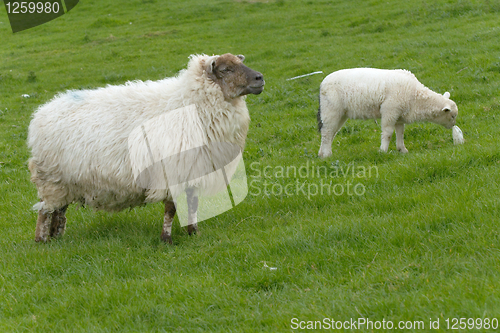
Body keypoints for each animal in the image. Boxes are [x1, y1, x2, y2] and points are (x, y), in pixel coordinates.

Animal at [26, 53, 266, 243]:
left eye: (240, 62)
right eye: (226, 69)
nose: (260, 78)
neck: (190, 103)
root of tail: (42, 113)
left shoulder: (192, 169)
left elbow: (192, 203)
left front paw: (193, 232)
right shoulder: (171, 170)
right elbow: (170, 209)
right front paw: (166, 239)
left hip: (66, 182)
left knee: (59, 210)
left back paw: (57, 237)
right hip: (52, 179)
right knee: (45, 211)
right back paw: (42, 240)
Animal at [318, 68, 458, 157]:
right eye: (452, 116)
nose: (453, 126)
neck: (416, 97)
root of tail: (322, 83)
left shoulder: (399, 115)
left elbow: (400, 132)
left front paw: (402, 150)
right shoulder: (390, 110)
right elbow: (388, 133)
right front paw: (383, 151)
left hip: (340, 113)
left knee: (330, 132)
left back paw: (322, 153)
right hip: (331, 109)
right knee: (327, 132)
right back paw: (327, 155)